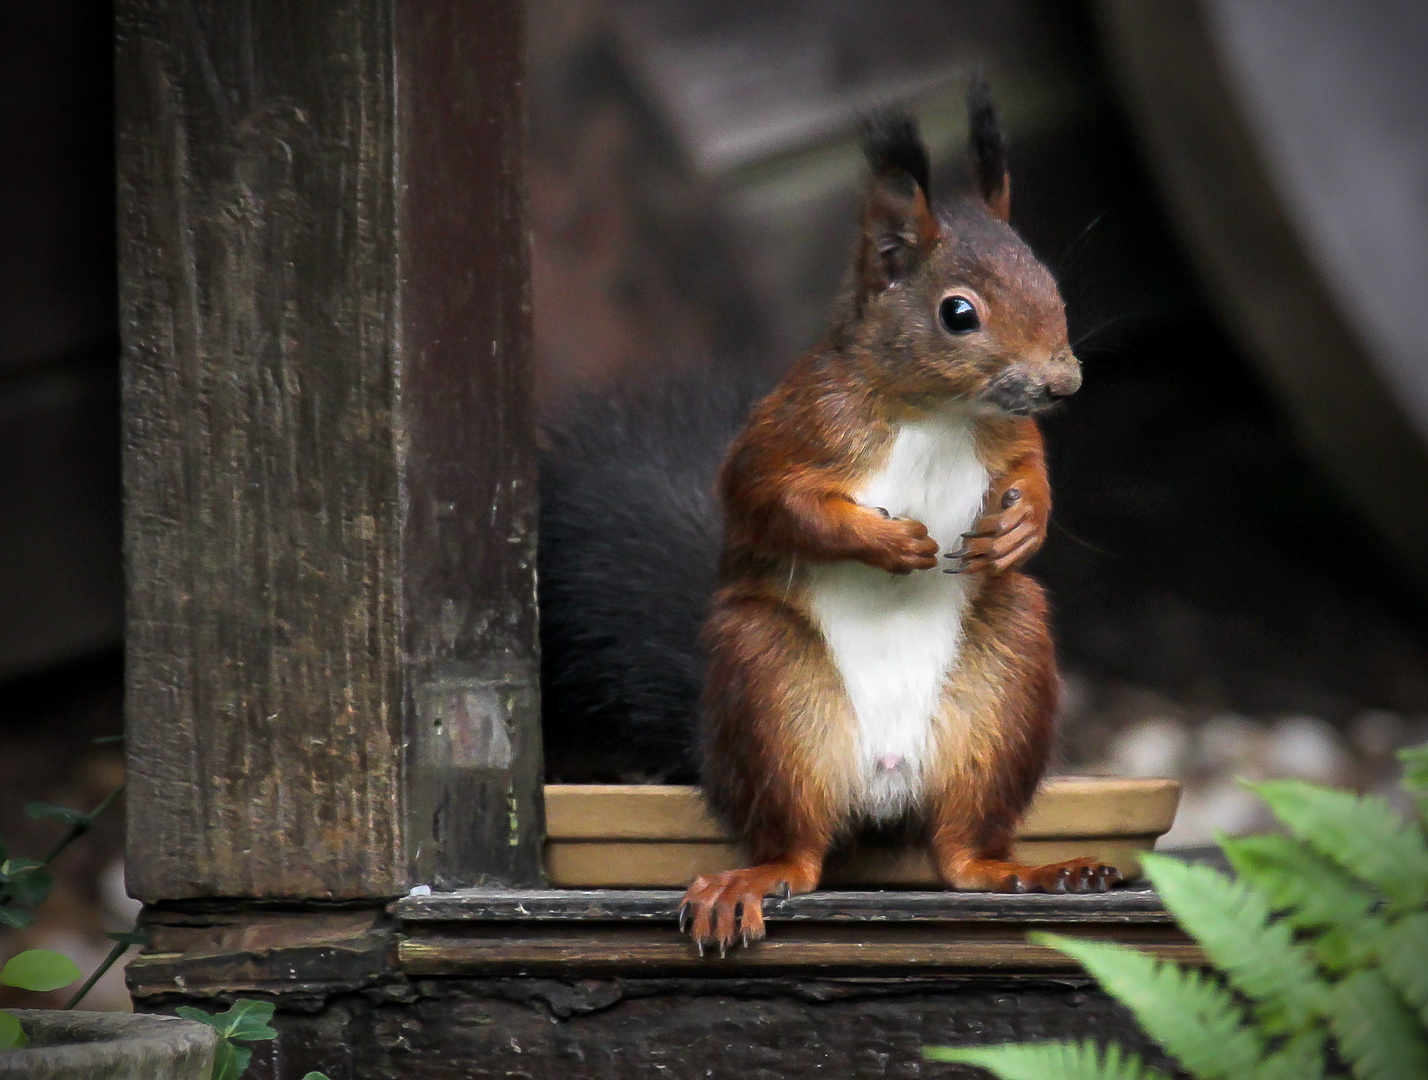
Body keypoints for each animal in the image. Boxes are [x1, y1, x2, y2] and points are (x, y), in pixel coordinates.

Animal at [679, 80, 1113, 948]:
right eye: (958, 313)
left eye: (1052, 286)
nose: (1063, 382)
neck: (939, 412)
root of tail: (885, 781)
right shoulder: (797, 426)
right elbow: (773, 499)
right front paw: (886, 542)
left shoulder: (1009, 436)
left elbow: (1032, 470)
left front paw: (1024, 526)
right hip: (770, 685)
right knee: (802, 851)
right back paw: (756, 878)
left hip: (1001, 687)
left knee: (961, 853)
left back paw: (1031, 871)